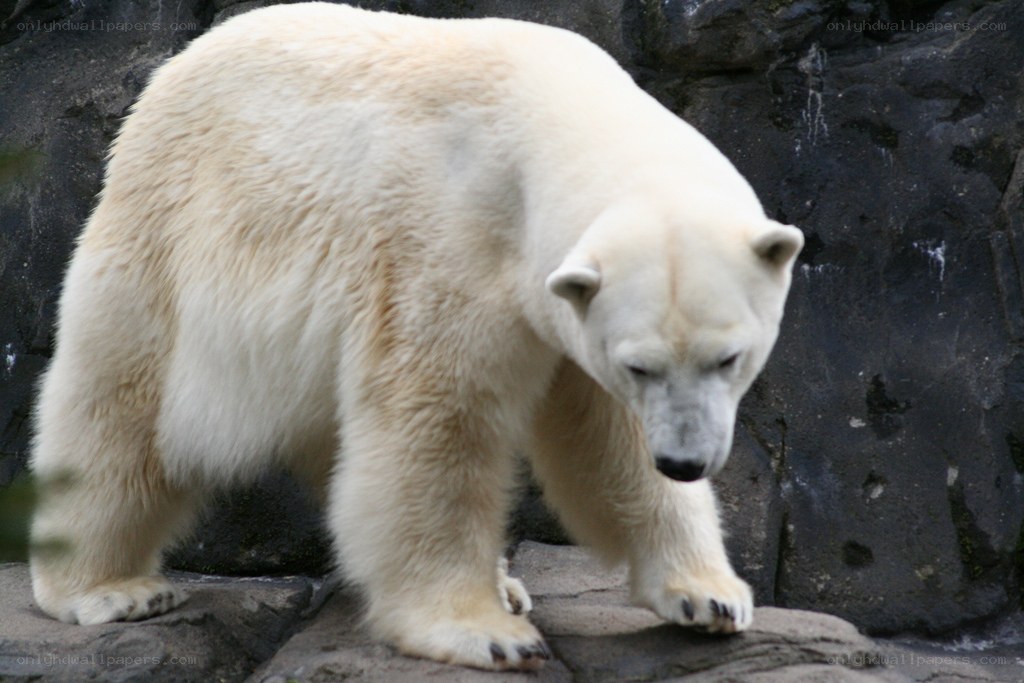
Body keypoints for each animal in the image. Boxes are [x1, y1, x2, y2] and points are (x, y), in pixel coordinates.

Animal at [29, 2, 803, 672]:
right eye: (640, 365)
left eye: (730, 358)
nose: (685, 461)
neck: (546, 115)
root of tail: (163, 80)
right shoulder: (451, 242)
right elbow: (436, 424)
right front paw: (483, 631)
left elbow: (604, 438)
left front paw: (709, 595)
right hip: (168, 237)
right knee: (121, 408)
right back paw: (108, 588)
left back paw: (507, 581)